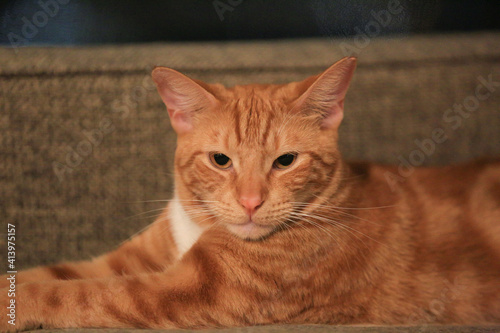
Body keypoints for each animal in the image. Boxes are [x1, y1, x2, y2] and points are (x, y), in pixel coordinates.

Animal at [0, 57, 500, 330]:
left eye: (286, 161)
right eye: (221, 160)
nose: (250, 202)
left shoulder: (179, 291)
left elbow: (73, 295)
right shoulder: (128, 260)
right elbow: (51, 275)